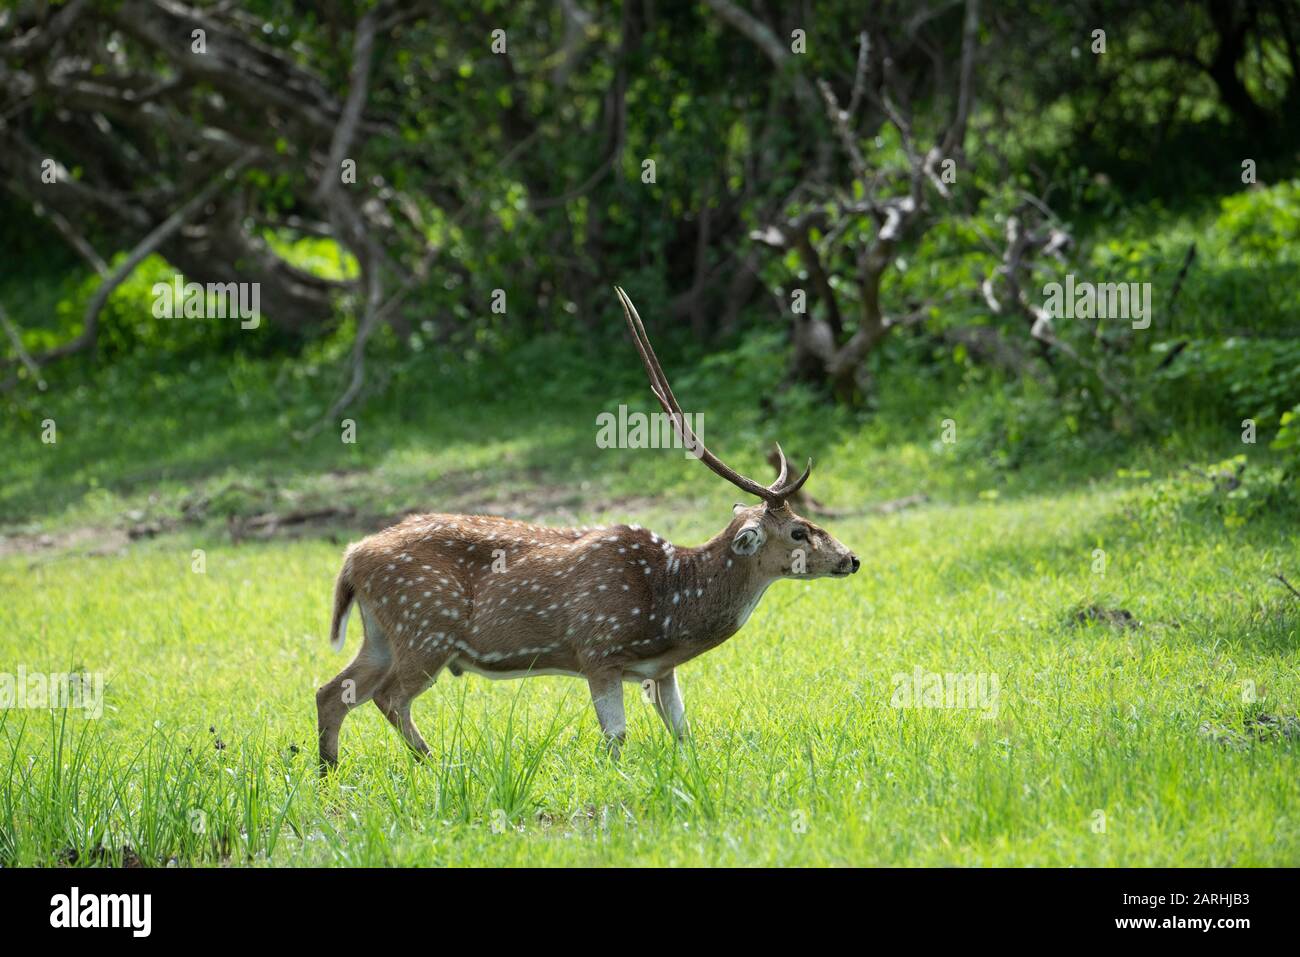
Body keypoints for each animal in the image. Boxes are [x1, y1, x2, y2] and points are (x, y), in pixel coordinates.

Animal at [316, 286, 859, 771]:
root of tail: (352, 555)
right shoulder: (598, 648)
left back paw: (329, 771)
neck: (669, 609)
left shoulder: (661, 670)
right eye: (798, 532)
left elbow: (683, 732)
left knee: (333, 690)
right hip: (427, 626)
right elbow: (616, 738)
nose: (851, 558)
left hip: (383, 634)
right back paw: (437, 764)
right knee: (388, 697)